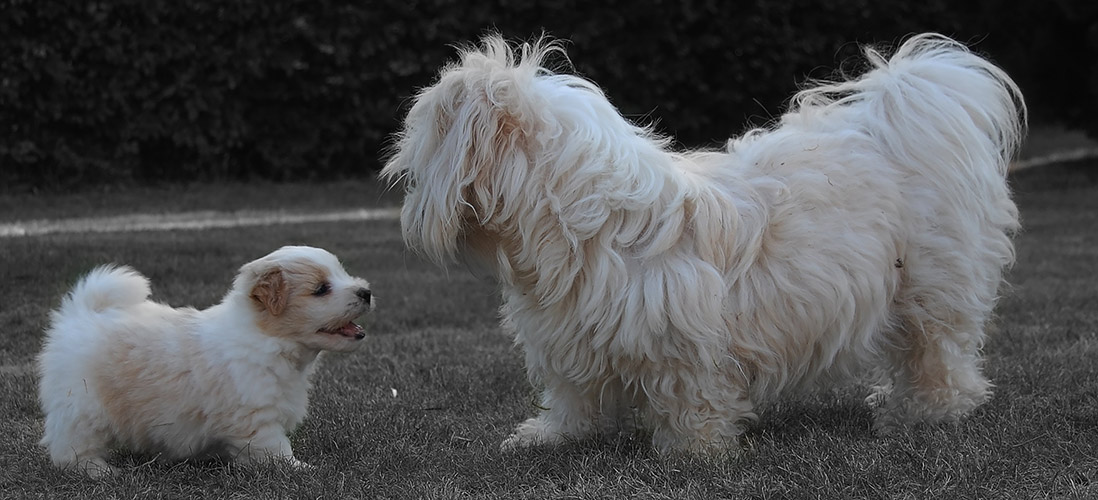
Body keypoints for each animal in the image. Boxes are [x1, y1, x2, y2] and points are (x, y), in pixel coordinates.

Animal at [37, 246, 373, 476]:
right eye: (321, 289)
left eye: (341, 273)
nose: (366, 291)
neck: (267, 339)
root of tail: (81, 313)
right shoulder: (256, 416)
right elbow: (276, 448)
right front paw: (302, 469)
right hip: (84, 404)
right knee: (69, 445)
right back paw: (97, 470)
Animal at [382, 33, 1023, 457]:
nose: (399, 179)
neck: (580, 220)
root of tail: (900, 122)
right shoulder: (569, 341)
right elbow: (574, 395)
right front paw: (552, 435)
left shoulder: (683, 342)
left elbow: (689, 397)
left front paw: (692, 453)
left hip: (931, 292)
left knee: (939, 356)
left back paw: (927, 412)